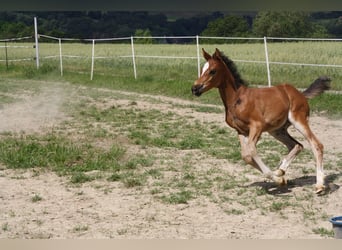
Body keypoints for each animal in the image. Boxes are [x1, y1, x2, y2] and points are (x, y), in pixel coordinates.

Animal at [192, 48, 328, 193]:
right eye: (202, 69)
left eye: (212, 71)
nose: (195, 88)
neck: (237, 99)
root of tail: (300, 94)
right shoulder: (241, 131)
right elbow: (246, 156)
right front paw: (280, 178)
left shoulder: (257, 127)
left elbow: (251, 151)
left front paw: (278, 178)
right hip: (277, 130)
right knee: (297, 145)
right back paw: (280, 170)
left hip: (298, 120)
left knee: (316, 145)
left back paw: (319, 185)